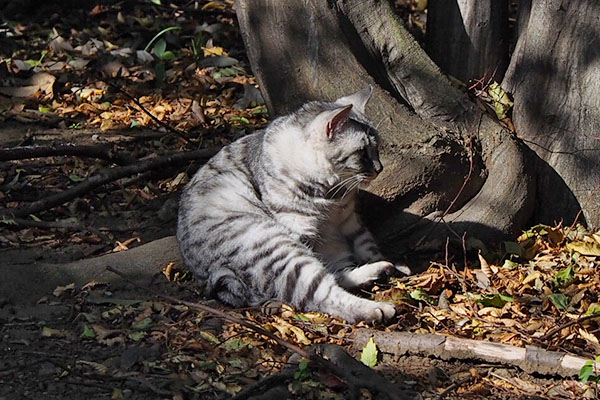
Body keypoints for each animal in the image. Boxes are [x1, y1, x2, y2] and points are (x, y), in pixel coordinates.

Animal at [178, 86, 404, 324]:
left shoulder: (350, 220)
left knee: (336, 276)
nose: (379, 168)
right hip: (281, 251)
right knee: (324, 294)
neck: (331, 194)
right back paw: (377, 308)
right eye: (362, 153)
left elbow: (367, 245)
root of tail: (218, 277)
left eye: (377, 148)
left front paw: (388, 263)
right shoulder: (299, 229)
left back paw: (379, 269)